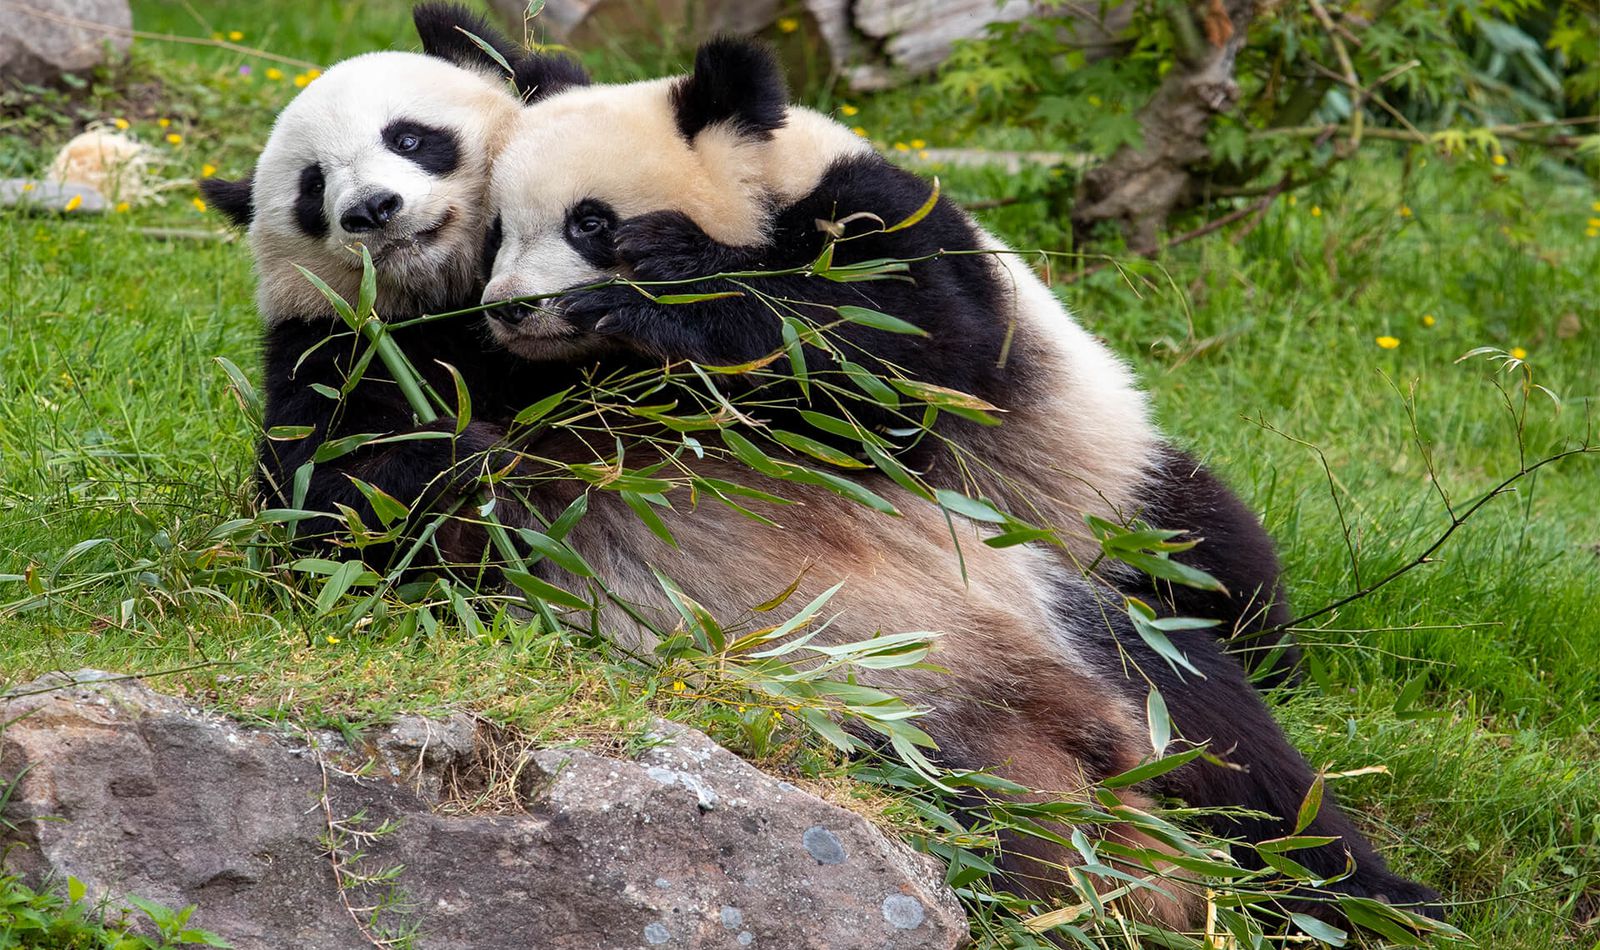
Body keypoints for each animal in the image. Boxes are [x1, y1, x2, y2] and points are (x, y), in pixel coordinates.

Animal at [199, 4, 589, 565]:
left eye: (407, 138)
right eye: (313, 186)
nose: (371, 208)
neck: (442, 300)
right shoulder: (329, 348)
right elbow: (315, 500)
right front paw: (460, 448)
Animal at [475, 37, 1440, 918]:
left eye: (590, 222)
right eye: (495, 229)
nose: (511, 310)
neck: (774, 184)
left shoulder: (886, 228)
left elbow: (909, 358)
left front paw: (667, 286)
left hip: (1111, 495)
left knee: (1219, 593)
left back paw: (1362, 868)